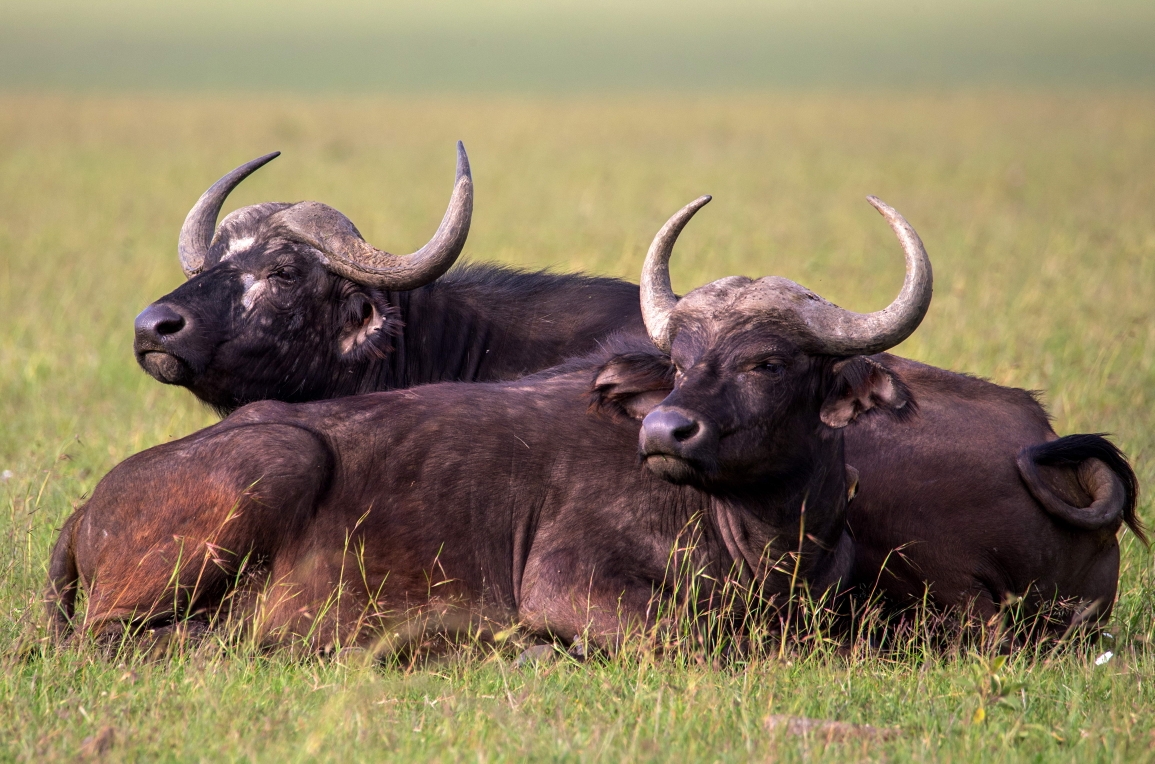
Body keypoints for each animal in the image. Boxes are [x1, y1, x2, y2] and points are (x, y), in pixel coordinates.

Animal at [47, 195, 937, 651]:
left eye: (767, 362)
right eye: (677, 361)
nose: (663, 434)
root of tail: (90, 504)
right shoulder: (567, 584)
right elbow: (680, 638)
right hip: (276, 455)